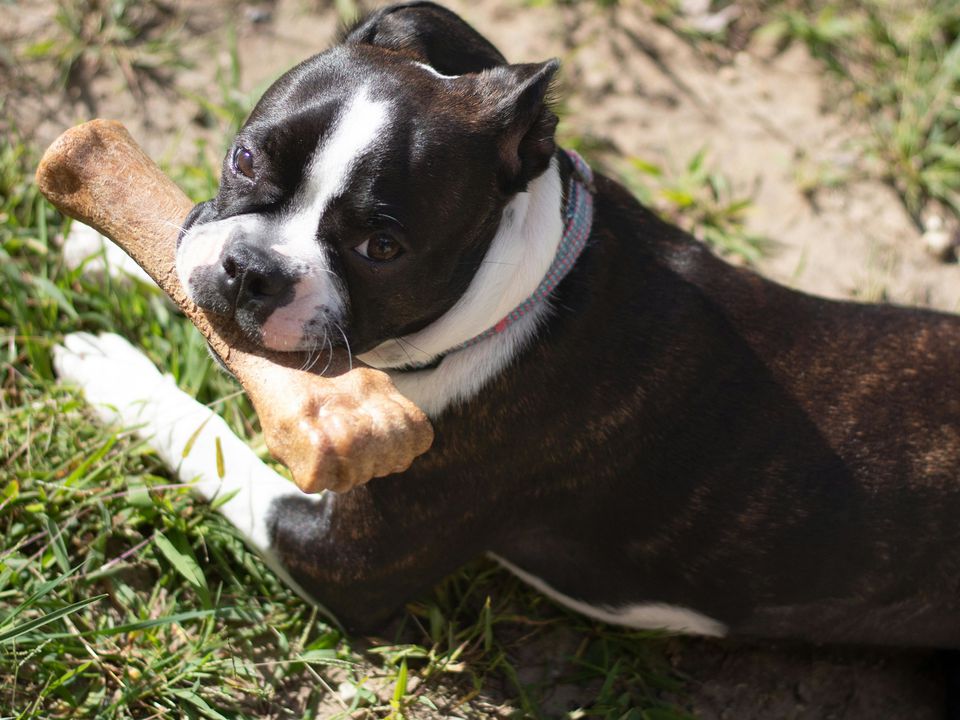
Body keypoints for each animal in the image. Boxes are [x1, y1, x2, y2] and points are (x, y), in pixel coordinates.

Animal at [58, 0, 960, 660]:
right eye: (245, 159)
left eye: (382, 248)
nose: (253, 269)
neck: (516, 294)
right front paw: (93, 247)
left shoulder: (345, 557)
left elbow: (212, 444)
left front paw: (118, 375)